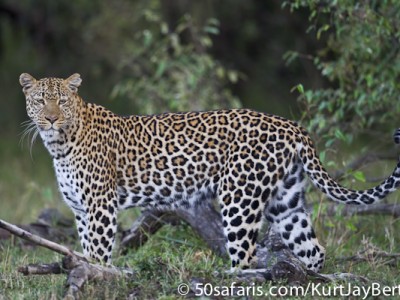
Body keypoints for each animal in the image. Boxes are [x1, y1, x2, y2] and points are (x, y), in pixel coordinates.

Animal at [19, 73, 400, 272]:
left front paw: (97, 278)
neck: (60, 143)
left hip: (239, 197)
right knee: (313, 250)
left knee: (246, 257)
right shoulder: (81, 211)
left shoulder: (100, 207)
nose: (50, 118)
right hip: (286, 202)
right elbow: (85, 252)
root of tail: (291, 125)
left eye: (61, 101)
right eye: (39, 100)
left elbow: (99, 254)